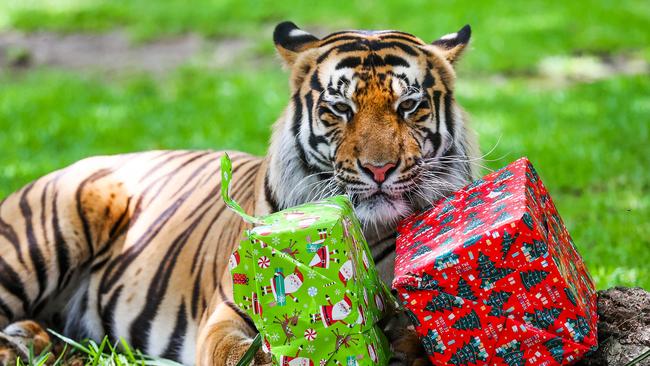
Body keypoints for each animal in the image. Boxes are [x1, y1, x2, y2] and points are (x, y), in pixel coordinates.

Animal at [0, 21, 476, 364]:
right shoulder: (228, 311)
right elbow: (235, 352)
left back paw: (35, 341)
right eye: (341, 108)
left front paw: (405, 340)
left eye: (409, 105)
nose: (379, 169)